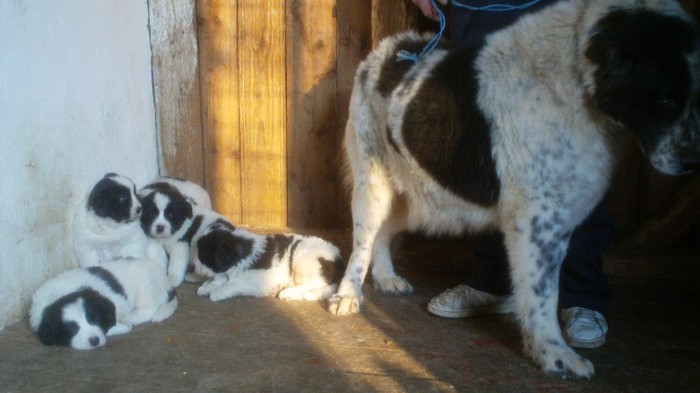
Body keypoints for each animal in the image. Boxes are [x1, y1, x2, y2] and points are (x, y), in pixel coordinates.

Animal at [29, 253, 178, 350]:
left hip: (146, 286)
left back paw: (131, 317)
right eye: (71, 328)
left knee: (149, 309)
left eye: (94, 319)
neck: (63, 293)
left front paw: (121, 325)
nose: (94, 341)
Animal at [330, 0, 700, 380]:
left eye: (693, 96)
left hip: (417, 196)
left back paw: (386, 277)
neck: (576, 76)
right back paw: (348, 294)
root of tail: (389, 49)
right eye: (666, 99)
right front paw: (554, 355)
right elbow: (543, 294)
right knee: (363, 241)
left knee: (383, 233)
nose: (692, 162)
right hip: (375, 184)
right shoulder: (539, 221)